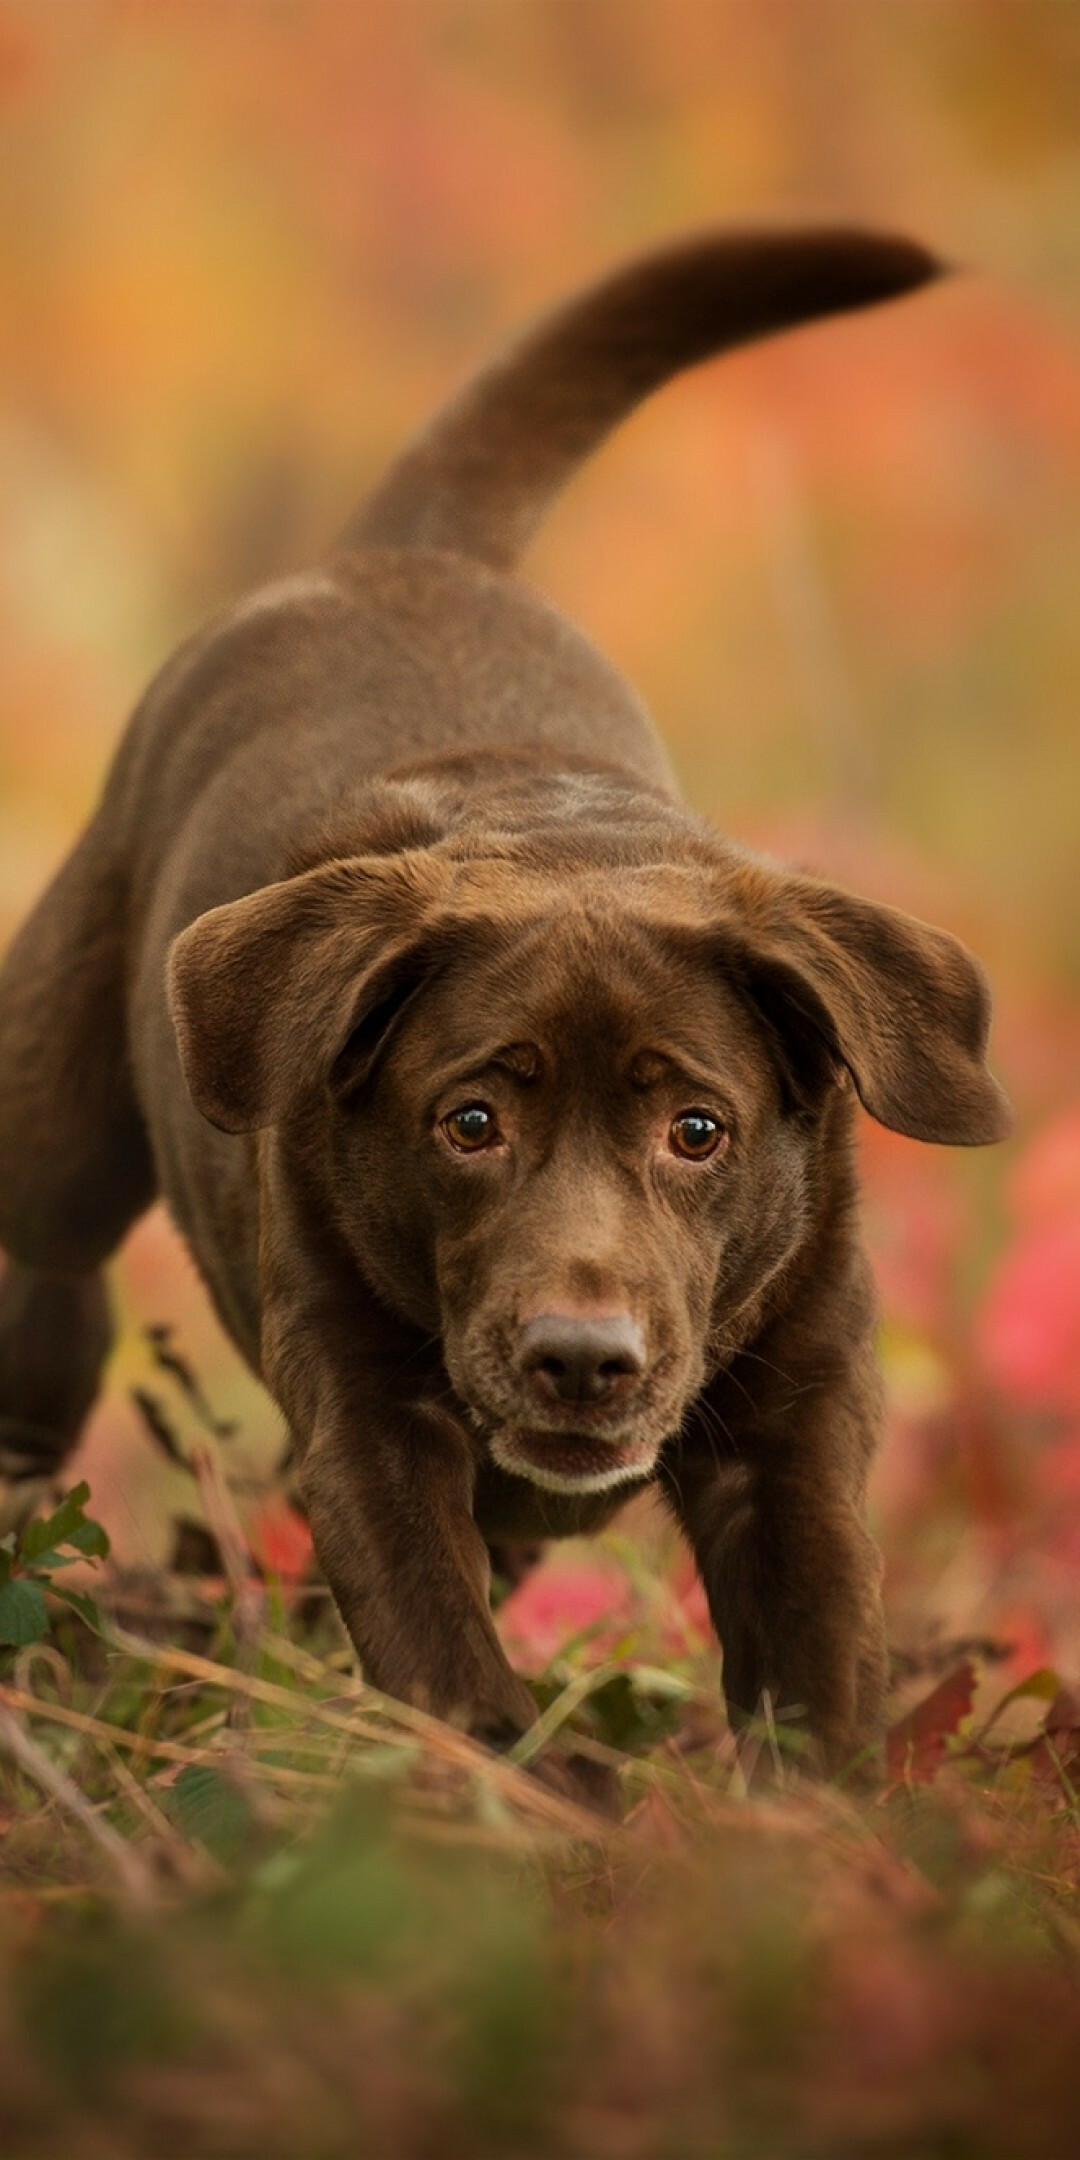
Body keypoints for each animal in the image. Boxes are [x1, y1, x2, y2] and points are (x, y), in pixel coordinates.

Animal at [0, 232, 1010, 1788]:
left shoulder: (797, 1413)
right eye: (467, 1122)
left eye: (699, 1130)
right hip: (51, 1163)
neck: (556, 833)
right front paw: (517, 1792)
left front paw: (816, 1815)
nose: (581, 1363)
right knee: (43, 1292)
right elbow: (432, 1626)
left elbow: (819, 1638)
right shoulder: (364, 1403)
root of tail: (408, 551)